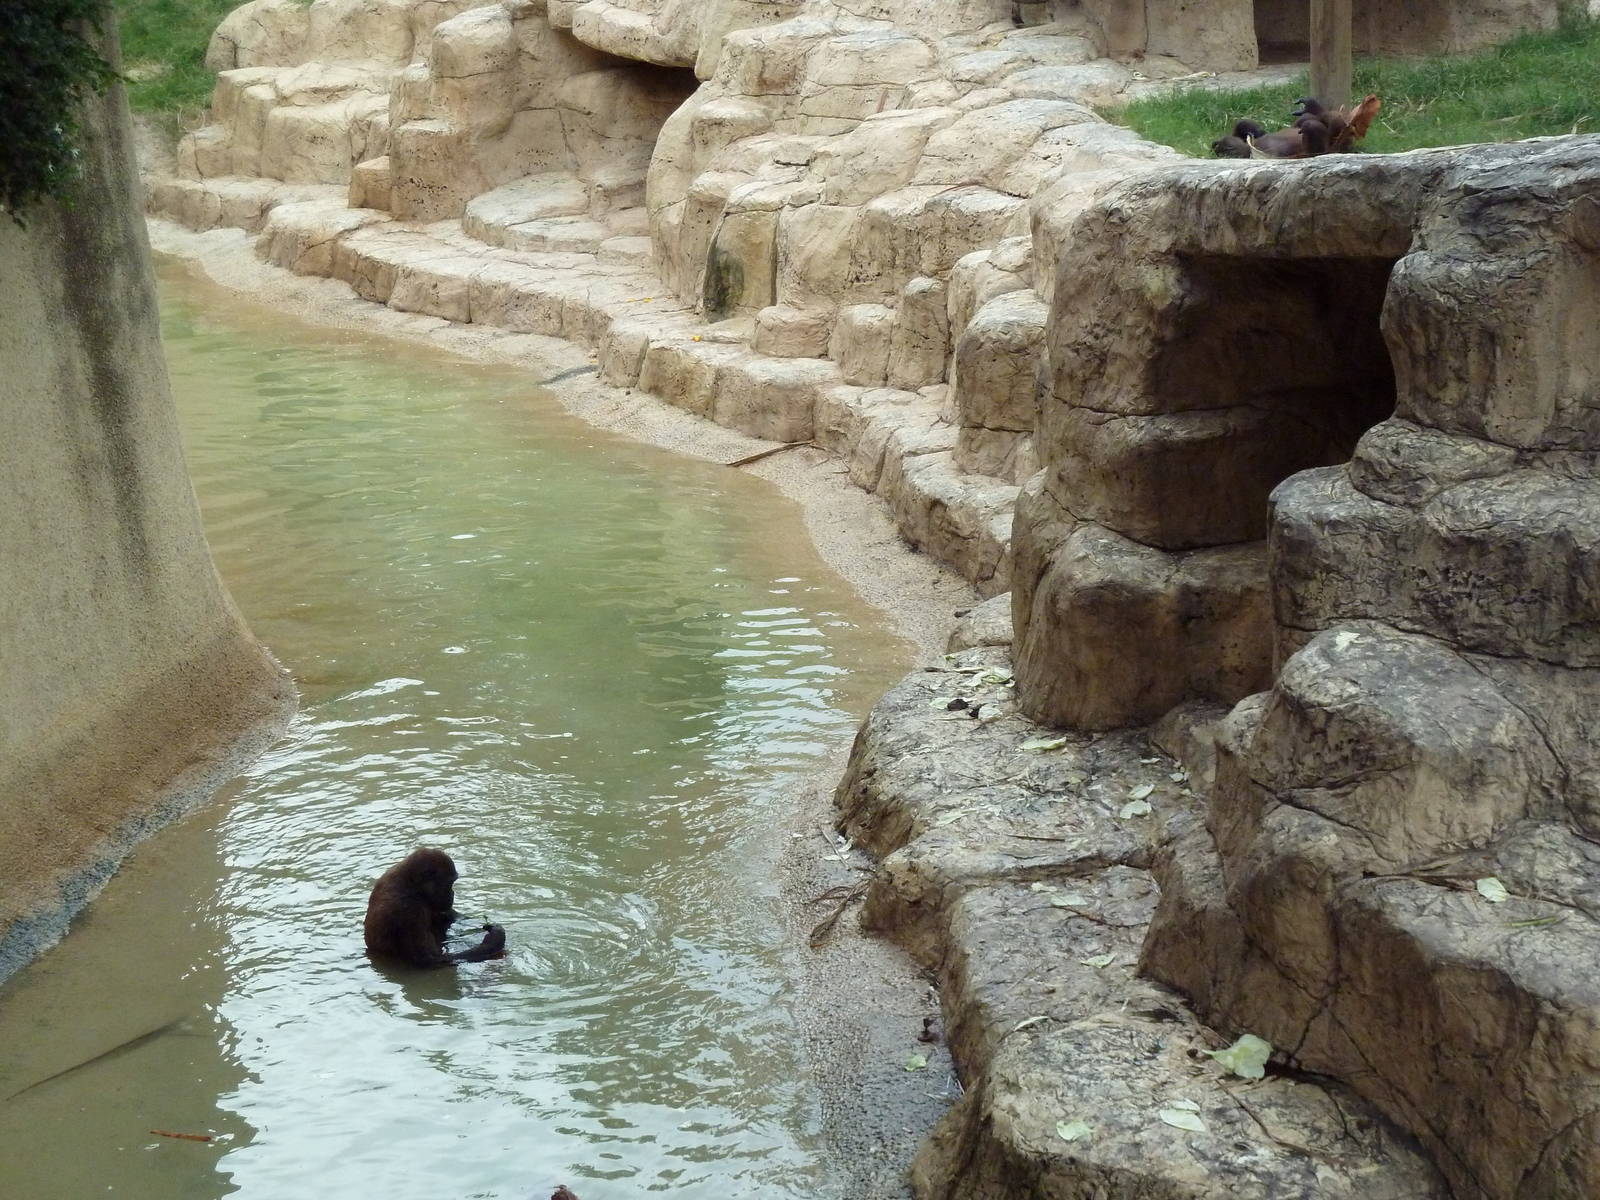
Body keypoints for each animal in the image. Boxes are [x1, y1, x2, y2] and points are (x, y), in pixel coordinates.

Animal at [363, 847, 505, 968]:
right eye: (450, 883)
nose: (452, 894)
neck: (411, 884)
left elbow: (450, 915)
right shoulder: (409, 909)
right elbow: (430, 960)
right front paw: (494, 941)